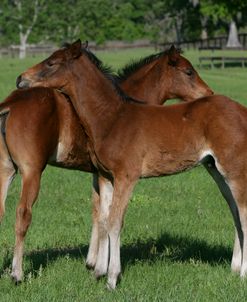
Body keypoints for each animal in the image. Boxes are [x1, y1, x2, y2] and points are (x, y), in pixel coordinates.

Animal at [17, 39, 247, 290]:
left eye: (51, 63)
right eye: (188, 71)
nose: (21, 79)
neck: (112, 117)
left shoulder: (126, 176)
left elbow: (115, 222)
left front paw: (111, 279)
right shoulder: (106, 176)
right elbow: (105, 219)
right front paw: (98, 271)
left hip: (234, 169)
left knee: (243, 214)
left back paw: (243, 274)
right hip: (217, 170)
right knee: (236, 212)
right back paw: (234, 269)